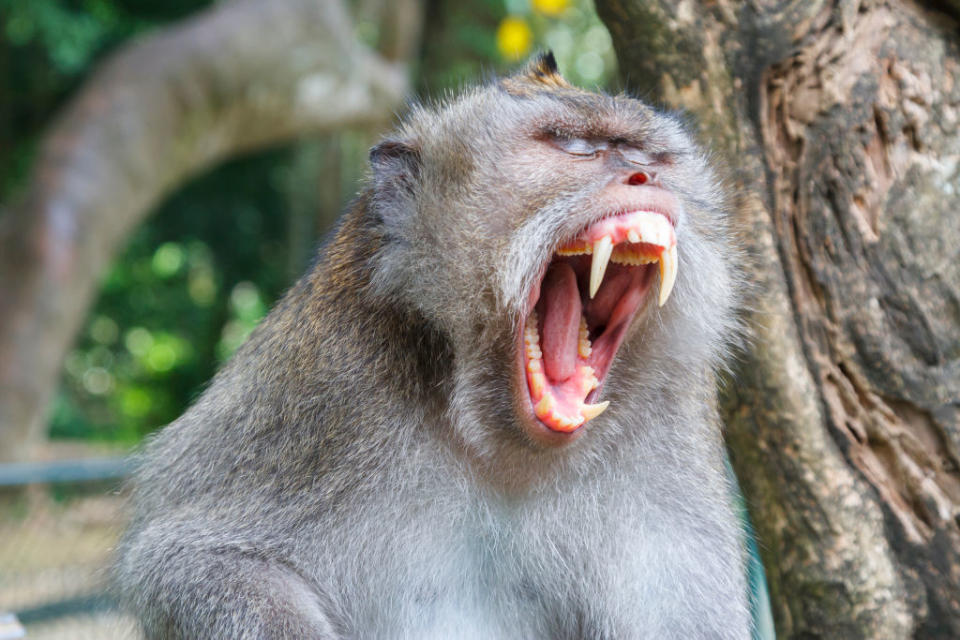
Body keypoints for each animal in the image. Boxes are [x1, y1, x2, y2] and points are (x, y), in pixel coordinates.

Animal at [114, 55, 752, 640]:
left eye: (650, 157)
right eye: (574, 146)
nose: (645, 179)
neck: (500, 444)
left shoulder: (675, 413)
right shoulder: (317, 389)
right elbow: (190, 558)